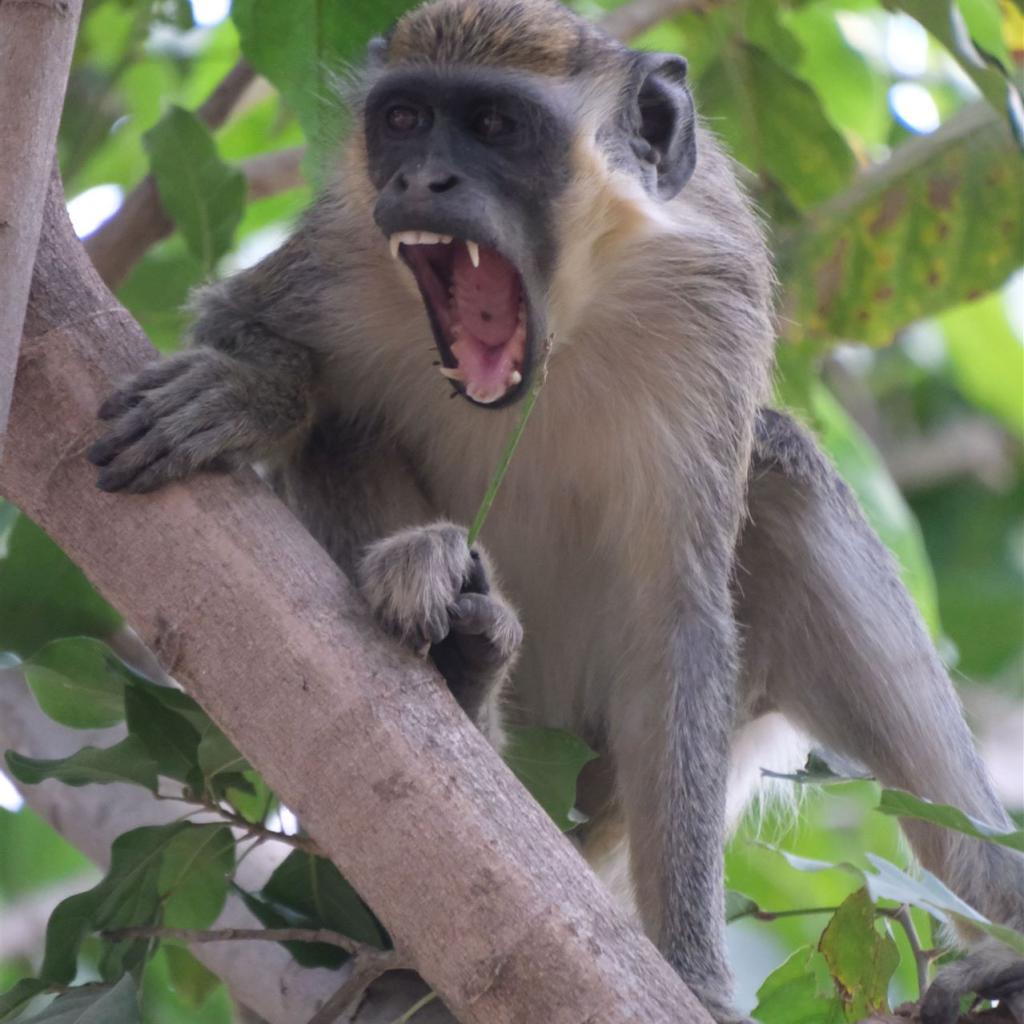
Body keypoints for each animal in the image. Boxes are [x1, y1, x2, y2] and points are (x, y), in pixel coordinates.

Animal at [86, 1, 1024, 1020]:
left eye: (496, 126)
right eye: (404, 121)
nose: (419, 179)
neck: (565, 324)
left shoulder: (714, 299)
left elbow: (677, 623)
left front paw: (693, 972)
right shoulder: (338, 255)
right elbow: (245, 331)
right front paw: (253, 390)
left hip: (597, 813)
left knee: (782, 470)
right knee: (346, 434)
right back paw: (459, 667)